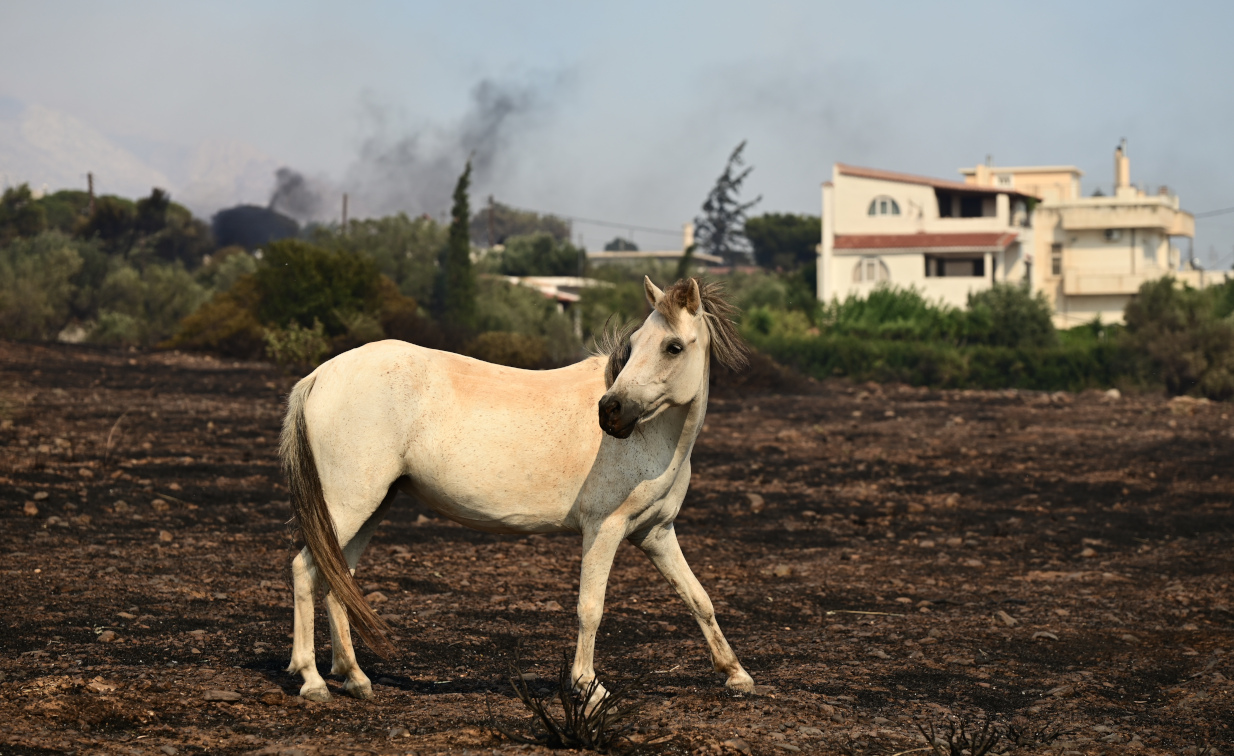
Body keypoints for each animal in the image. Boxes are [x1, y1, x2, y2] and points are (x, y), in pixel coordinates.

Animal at [282, 276, 750, 700]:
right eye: (633, 346)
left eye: (673, 346)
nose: (610, 411)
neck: (654, 437)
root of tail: (320, 375)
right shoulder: (604, 530)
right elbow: (590, 609)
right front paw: (588, 686)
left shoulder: (655, 533)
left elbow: (698, 598)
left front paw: (736, 675)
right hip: (348, 507)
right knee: (306, 570)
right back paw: (313, 682)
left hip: (371, 508)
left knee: (338, 579)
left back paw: (355, 677)